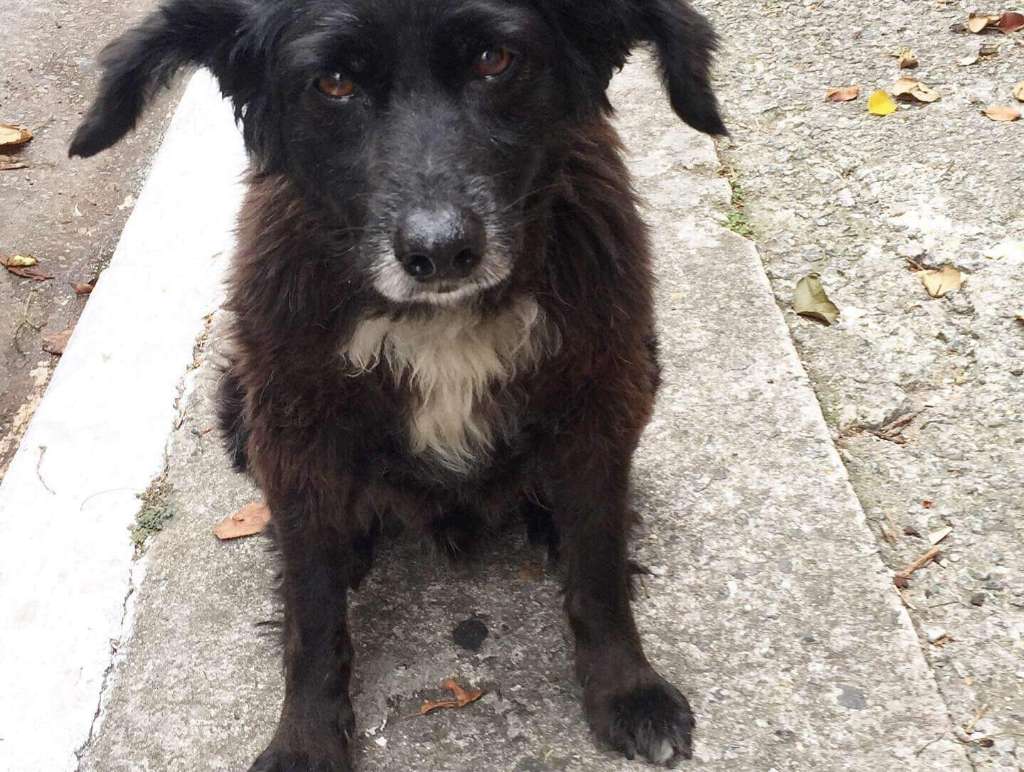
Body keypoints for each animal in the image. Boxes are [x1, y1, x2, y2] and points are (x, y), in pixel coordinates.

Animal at [71, 0, 725, 768]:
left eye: (494, 60)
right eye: (333, 82)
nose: (440, 253)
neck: (439, 318)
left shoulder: (598, 400)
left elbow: (597, 567)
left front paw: (627, 690)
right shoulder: (296, 435)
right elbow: (312, 615)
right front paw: (305, 740)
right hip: (242, 406)